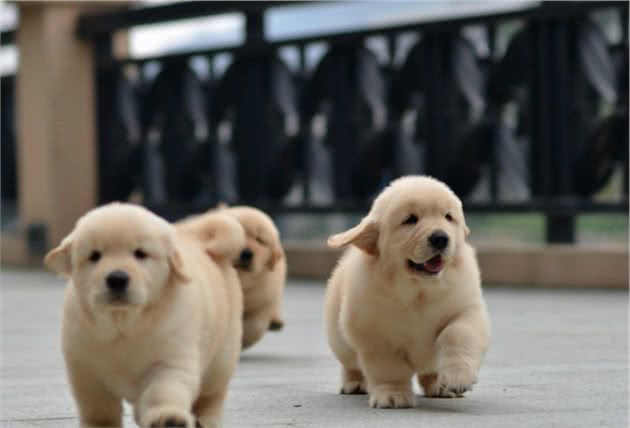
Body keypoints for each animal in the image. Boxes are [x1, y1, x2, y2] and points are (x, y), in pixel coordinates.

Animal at [44, 204, 246, 428]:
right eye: (94, 256)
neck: (123, 325)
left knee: (211, 396)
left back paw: (205, 419)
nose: (117, 278)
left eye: (140, 254)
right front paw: (100, 425)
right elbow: (98, 409)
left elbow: (162, 391)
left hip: (222, 358)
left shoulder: (170, 360)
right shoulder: (86, 371)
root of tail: (197, 236)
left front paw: (167, 418)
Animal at [326, 176, 494, 408]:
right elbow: (389, 367)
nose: (441, 237)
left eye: (449, 217)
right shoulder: (375, 333)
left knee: (430, 370)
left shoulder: (465, 309)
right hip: (340, 341)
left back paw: (440, 386)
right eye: (410, 220)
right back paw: (355, 384)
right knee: (351, 365)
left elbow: (457, 334)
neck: (418, 290)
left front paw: (457, 377)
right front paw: (393, 394)